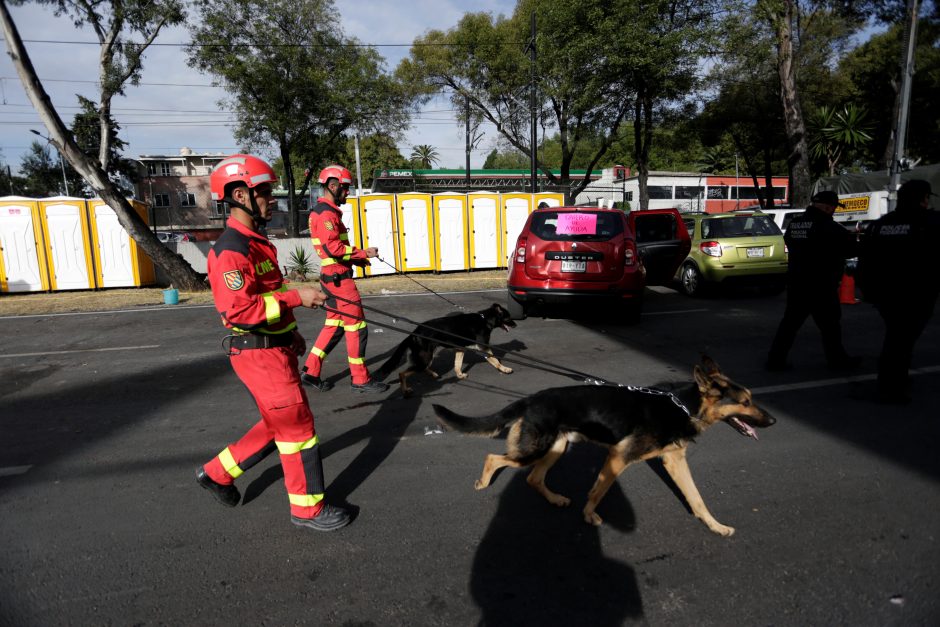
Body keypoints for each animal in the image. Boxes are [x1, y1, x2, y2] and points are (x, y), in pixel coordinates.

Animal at [374, 304, 516, 398]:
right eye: (508, 317)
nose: (516, 324)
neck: (485, 319)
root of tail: (414, 332)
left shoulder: (460, 349)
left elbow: (457, 365)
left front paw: (460, 375)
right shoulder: (484, 348)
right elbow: (495, 360)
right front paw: (505, 369)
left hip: (427, 357)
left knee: (421, 369)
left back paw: (433, 374)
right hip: (425, 358)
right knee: (402, 374)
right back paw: (405, 390)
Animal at [430, 356, 776, 536]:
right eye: (745, 402)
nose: (773, 421)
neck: (684, 406)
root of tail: (532, 398)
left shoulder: (674, 461)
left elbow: (697, 498)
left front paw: (715, 526)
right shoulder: (618, 457)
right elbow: (598, 491)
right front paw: (589, 516)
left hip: (556, 449)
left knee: (533, 478)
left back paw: (555, 498)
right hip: (537, 449)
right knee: (494, 457)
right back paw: (483, 481)